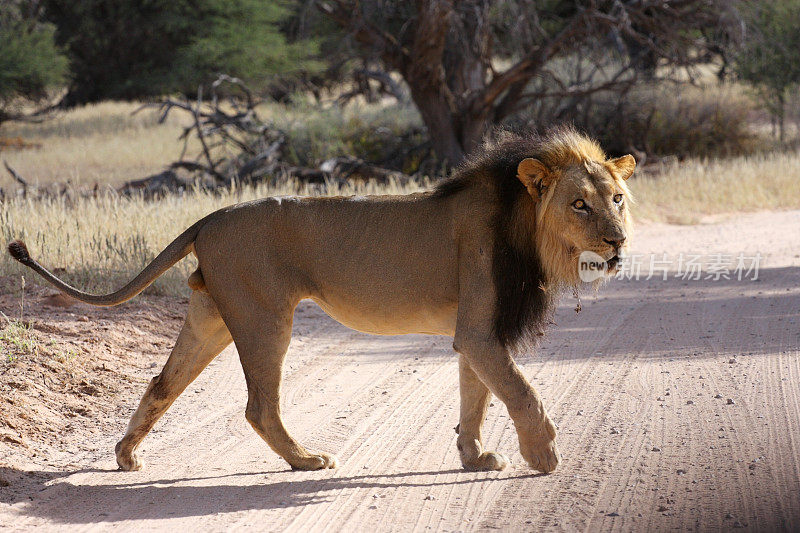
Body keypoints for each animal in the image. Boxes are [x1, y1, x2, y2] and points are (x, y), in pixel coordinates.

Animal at [4, 125, 632, 474]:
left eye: (618, 199)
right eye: (579, 204)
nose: (618, 241)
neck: (527, 228)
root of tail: (208, 218)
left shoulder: (481, 330)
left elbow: (475, 397)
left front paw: (475, 457)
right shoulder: (479, 330)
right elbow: (521, 392)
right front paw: (543, 455)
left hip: (212, 317)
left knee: (163, 384)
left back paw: (128, 455)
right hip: (265, 317)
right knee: (259, 405)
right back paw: (305, 460)